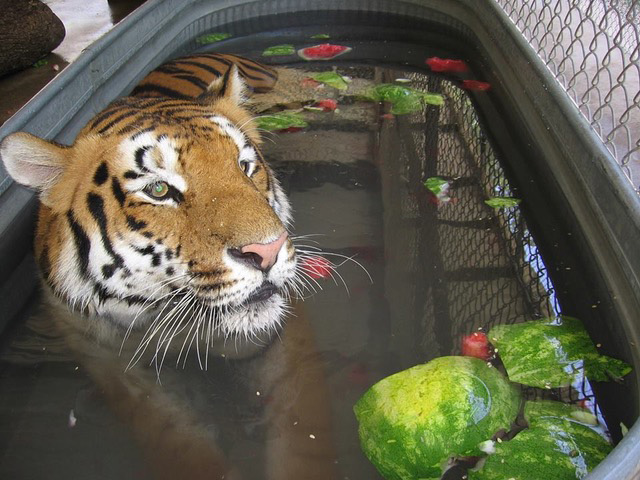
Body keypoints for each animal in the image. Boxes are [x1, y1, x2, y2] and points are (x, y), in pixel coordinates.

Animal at [0, 53, 338, 480]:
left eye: (244, 166)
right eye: (158, 190)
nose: (267, 251)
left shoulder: (282, 336)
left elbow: (300, 436)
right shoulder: (109, 359)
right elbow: (178, 442)